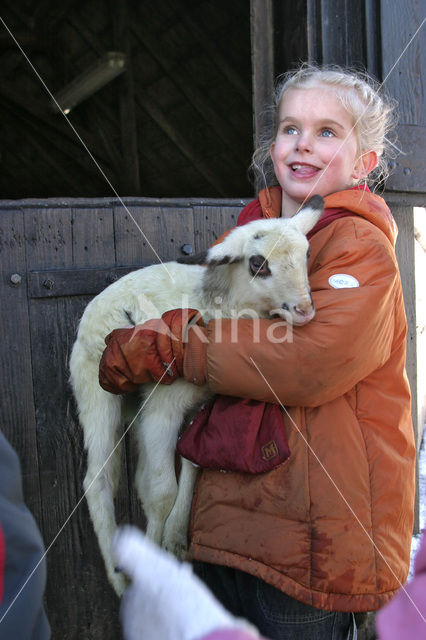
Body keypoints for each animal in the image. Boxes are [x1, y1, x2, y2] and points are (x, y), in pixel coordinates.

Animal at [69, 195, 322, 596]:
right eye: (257, 264)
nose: (304, 310)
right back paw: (120, 577)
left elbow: (191, 462)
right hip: (95, 389)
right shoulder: (164, 407)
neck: (220, 309)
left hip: (135, 406)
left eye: (307, 254)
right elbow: (161, 492)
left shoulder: (199, 404)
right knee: (99, 479)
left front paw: (174, 539)